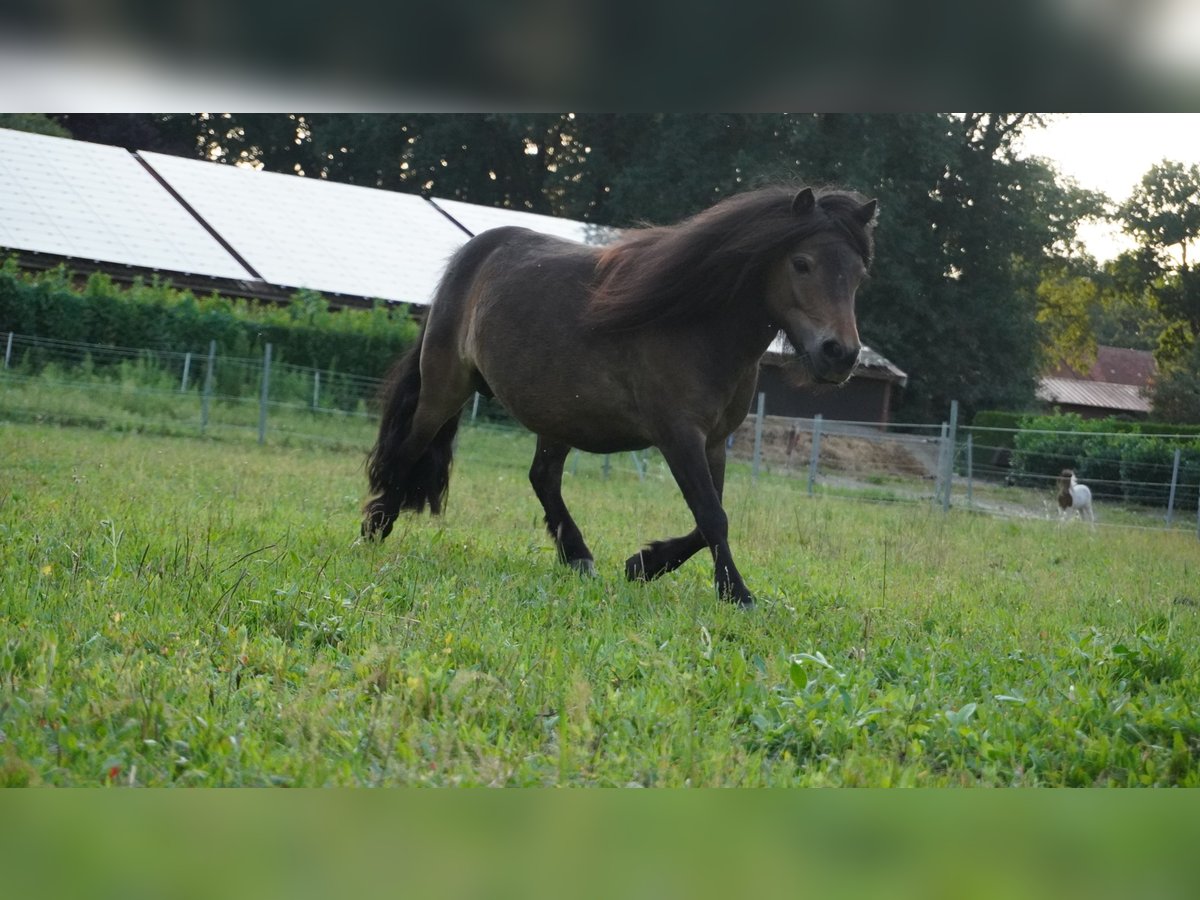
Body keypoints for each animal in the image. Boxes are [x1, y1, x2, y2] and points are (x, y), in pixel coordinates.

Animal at [360, 183, 878, 609]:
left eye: (858, 275)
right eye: (802, 263)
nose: (841, 354)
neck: (701, 326)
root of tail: (468, 256)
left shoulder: (713, 442)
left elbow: (709, 517)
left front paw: (644, 564)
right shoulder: (678, 436)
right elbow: (713, 516)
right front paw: (737, 592)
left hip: (555, 416)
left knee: (543, 478)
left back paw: (578, 557)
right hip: (446, 387)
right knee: (409, 449)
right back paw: (375, 527)